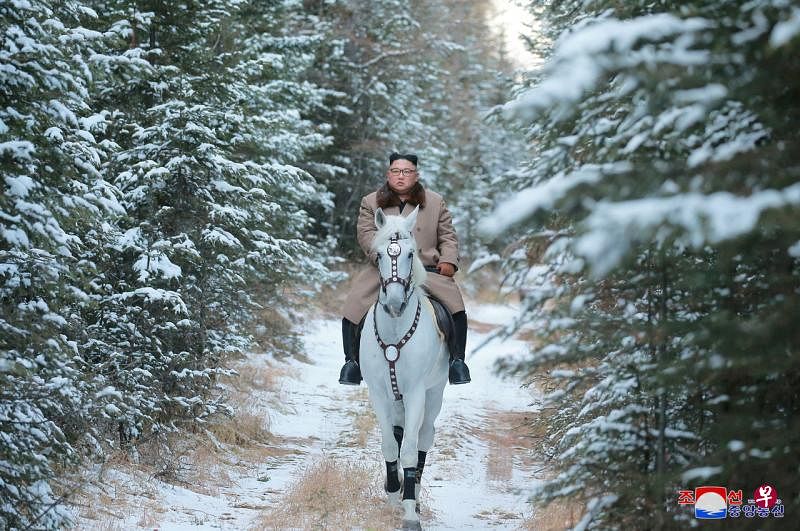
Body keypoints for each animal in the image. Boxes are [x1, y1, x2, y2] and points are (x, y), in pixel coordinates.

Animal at [359, 205, 449, 529]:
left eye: (411, 254)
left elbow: (410, 450)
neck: (395, 330)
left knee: (423, 437)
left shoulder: (416, 393)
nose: (395, 304)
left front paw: (409, 511)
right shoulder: (378, 393)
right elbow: (389, 444)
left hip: (434, 394)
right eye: (379, 255)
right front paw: (392, 495)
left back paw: (416, 495)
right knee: (398, 434)